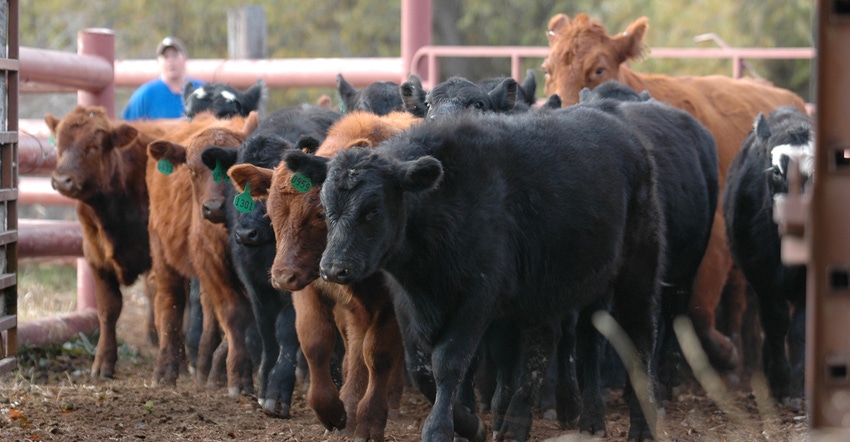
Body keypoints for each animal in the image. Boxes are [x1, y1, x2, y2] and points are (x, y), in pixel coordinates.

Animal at [44, 105, 186, 378]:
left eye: (94, 146)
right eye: (59, 145)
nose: (62, 180)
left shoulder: (159, 259)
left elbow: (166, 306)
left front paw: (173, 360)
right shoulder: (96, 259)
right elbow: (108, 310)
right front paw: (103, 362)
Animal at [146, 111, 258, 394]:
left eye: (231, 171)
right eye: (192, 170)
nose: (213, 207)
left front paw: (219, 370)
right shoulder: (210, 264)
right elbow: (233, 311)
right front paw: (239, 375)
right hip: (162, 255)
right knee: (171, 304)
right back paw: (166, 368)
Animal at [225, 109, 418, 438]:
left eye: (319, 213)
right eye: (271, 212)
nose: (281, 276)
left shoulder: (389, 304)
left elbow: (378, 355)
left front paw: (369, 421)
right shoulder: (310, 288)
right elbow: (315, 342)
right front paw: (332, 410)